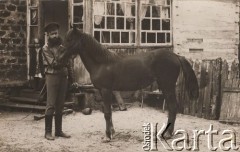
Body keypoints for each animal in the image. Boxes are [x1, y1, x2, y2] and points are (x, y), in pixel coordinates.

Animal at [60, 27, 199, 142]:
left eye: (70, 39)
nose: (59, 57)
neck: (102, 63)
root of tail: (175, 56)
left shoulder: (106, 90)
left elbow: (107, 113)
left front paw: (108, 136)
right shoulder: (103, 91)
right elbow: (109, 112)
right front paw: (112, 132)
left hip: (167, 86)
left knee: (173, 107)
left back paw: (168, 134)